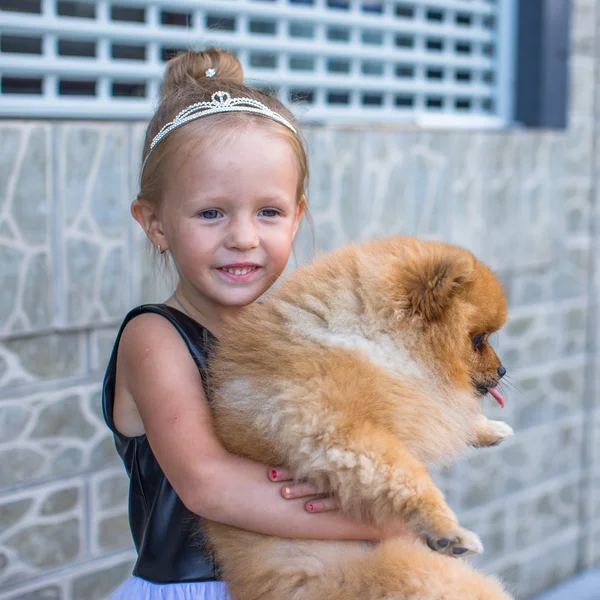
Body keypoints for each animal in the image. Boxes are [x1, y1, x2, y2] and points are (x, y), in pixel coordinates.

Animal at [206, 237, 516, 596]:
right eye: (479, 340)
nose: (503, 370)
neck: (366, 336)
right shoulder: (336, 427)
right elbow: (405, 474)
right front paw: (447, 530)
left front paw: (490, 429)